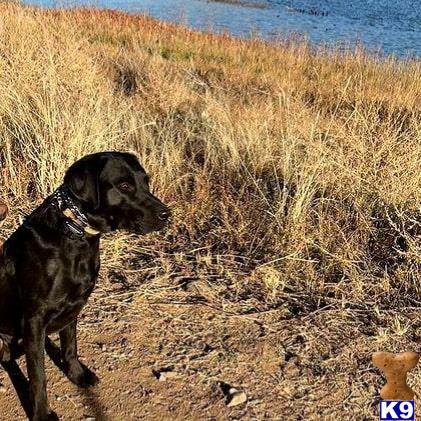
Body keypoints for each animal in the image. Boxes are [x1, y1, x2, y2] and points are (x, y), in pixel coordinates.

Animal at [0, 152, 171, 420]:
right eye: (124, 185)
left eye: (146, 182)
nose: (167, 214)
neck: (73, 233)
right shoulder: (35, 319)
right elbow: (38, 376)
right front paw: (41, 413)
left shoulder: (74, 307)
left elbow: (70, 347)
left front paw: (77, 375)